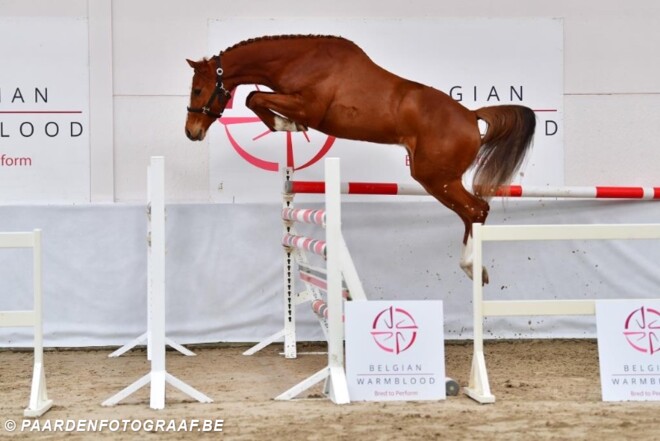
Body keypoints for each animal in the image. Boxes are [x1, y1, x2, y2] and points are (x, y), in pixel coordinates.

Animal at [185, 35, 536, 284]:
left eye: (198, 90)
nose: (191, 132)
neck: (301, 60)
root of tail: (471, 116)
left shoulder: (309, 107)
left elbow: (254, 96)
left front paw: (288, 125)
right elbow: (253, 97)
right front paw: (285, 125)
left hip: (436, 178)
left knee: (476, 210)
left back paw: (470, 266)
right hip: (438, 178)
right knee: (473, 212)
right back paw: (476, 268)